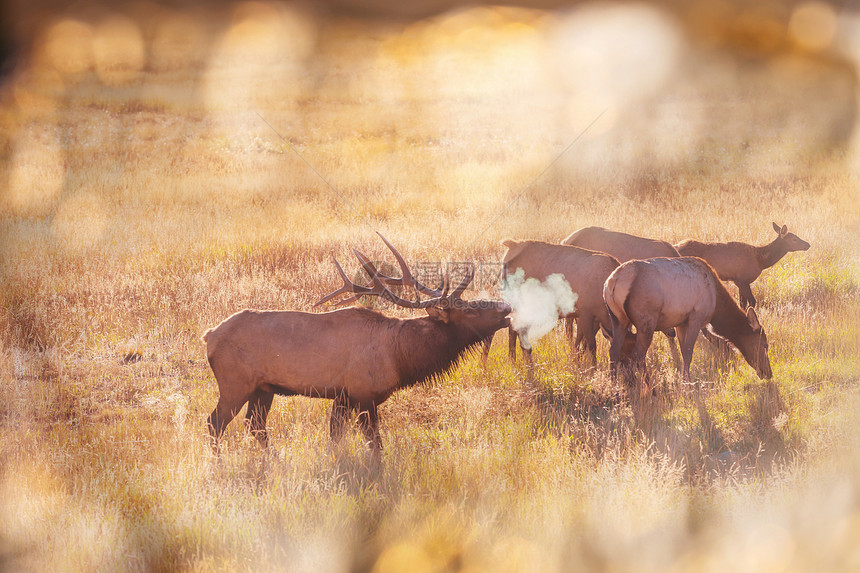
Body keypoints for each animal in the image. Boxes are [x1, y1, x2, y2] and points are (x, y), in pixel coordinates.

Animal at [202, 232, 510, 452]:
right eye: (469, 310)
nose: (505, 307)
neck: (400, 356)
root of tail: (209, 336)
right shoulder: (364, 394)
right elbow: (375, 445)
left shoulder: (342, 396)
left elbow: (334, 438)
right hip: (235, 382)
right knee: (214, 422)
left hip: (263, 388)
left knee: (255, 425)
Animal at [600, 258, 776, 384]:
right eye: (764, 345)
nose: (768, 373)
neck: (716, 305)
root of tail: (612, 283)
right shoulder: (695, 317)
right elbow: (688, 353)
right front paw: (688, 383)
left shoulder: (680, 322)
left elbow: (683, 351)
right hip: (646, 321)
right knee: (638, 354)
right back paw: (650, 388)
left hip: (618, 319)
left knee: (613, 350)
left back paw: (615, 385)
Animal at [676, 221, 808, 308]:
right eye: (794, 239)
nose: (808, 244)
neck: (761, 260)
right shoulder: (743, 280)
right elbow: (752, 302)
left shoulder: (738, 281)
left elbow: (742, 304)